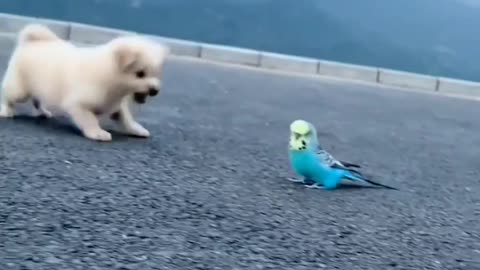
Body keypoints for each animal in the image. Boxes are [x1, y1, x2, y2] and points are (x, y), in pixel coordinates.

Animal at [0, 23, 169, 141]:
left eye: (156, 74)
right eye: (140, 74)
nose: (155, 90)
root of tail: (32, 42)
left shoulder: (116, 105)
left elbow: (126, 119)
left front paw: (136, 130)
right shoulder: (78, 105)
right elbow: (90, 120)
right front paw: (97, 133)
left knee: (38, 100)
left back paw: (43, 112)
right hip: (20, 90)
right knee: (8, 96)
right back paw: (6, 111)